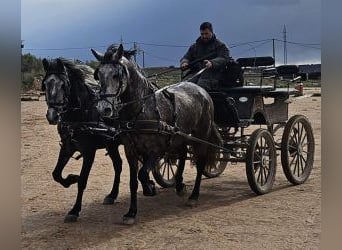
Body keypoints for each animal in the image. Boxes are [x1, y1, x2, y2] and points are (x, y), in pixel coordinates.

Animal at [42, 58, 123, 223]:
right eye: (45, 84)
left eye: (64, 84)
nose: (52, 115)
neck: (81, 114)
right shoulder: (67, 147)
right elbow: (56, 174)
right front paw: (71, 178)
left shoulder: (89, 152)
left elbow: (82, 181)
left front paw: (74, 210)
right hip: (112, 144)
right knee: (118, 165)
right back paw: (112, 195)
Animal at [92, 44, 223, 224]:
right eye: (98, 75)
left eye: (116, 75)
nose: (103, 108)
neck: (141, 108)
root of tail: (202, 90)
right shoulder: (130, 150)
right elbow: (133, 180)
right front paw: (131, 212)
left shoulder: (158, 149)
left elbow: (142, 173)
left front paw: (150, 188)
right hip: (180, 135)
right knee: (182, 154)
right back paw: (179, 185)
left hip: (201, 135)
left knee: (200, 162)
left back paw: (194, 196)